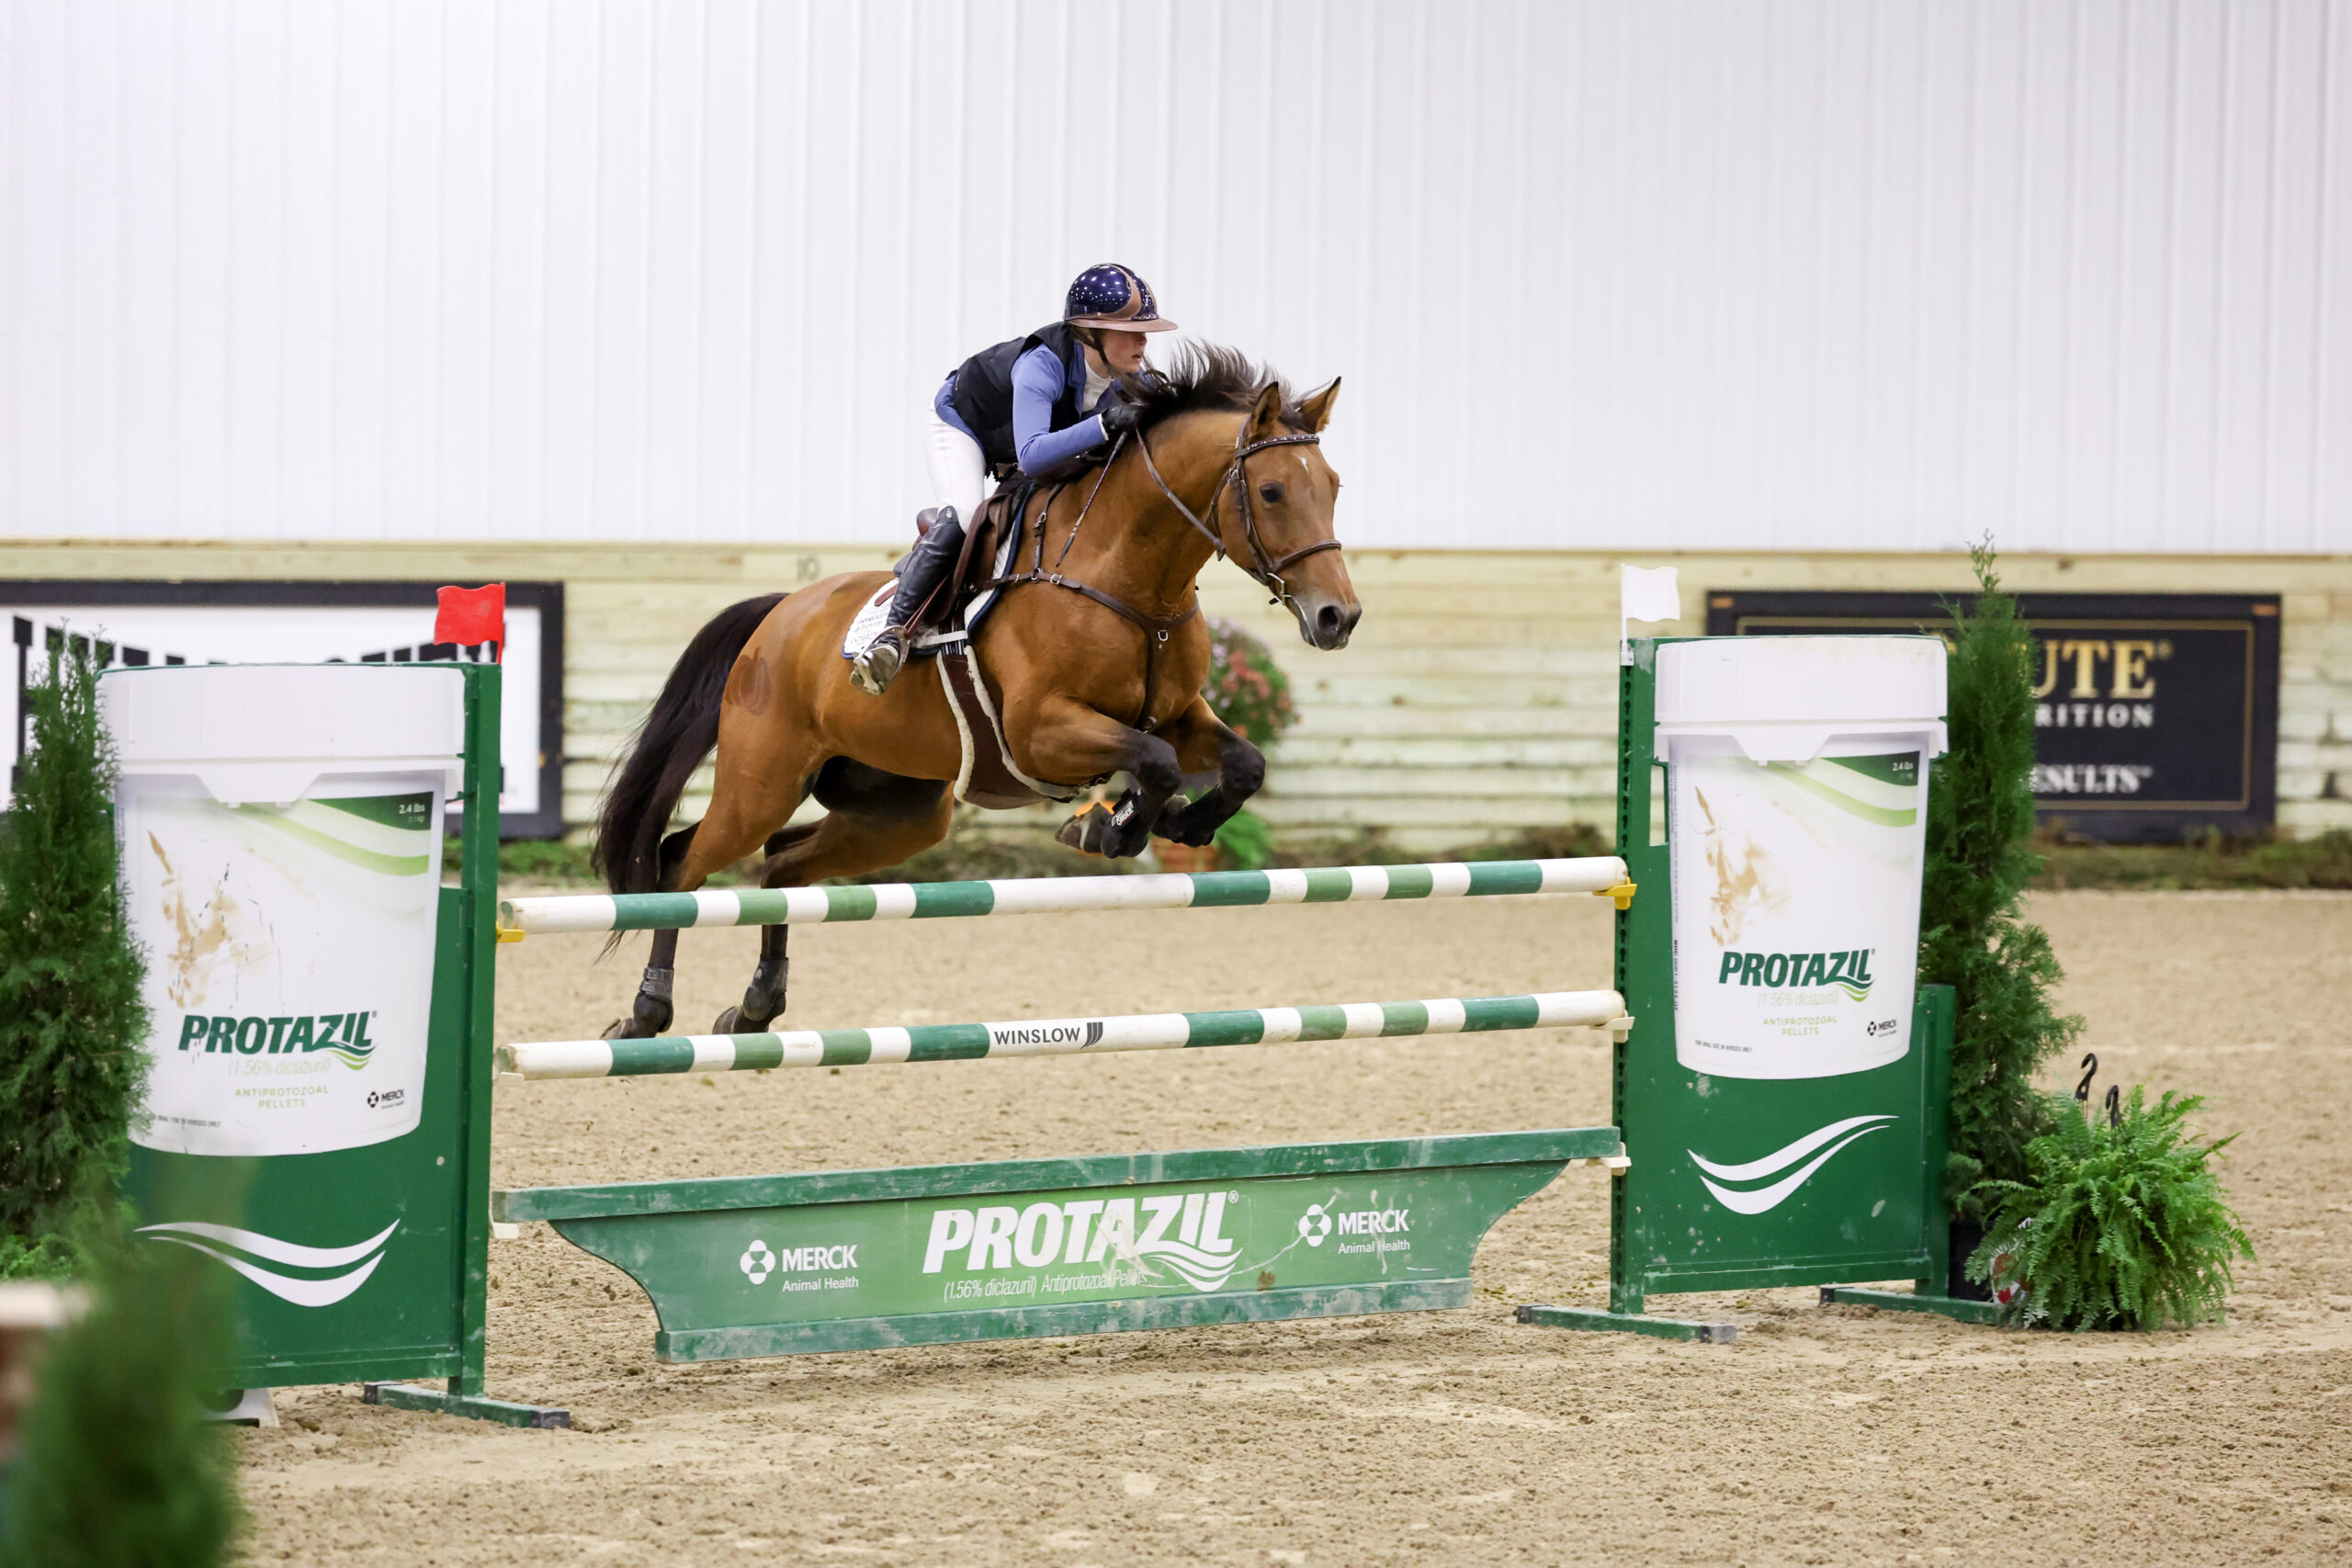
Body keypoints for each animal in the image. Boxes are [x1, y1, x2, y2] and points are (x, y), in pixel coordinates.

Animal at [590, 346, 1360, 1039]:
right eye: (1271, 492)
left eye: (1334, 485)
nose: (1338, 617)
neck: (1129, 578)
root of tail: (779, 614)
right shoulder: (1041, 732)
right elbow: (1156, 763)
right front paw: (1112, 826)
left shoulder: (1176, 714)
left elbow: (1241, 763)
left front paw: (1179, 826)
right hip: (762, 781)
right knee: (682, 862)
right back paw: (646, 1012)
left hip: (899, 809)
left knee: (781, 861)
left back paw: (755, 1008)